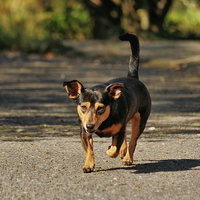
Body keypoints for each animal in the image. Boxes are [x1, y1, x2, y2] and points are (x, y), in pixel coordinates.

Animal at [63, 32, 151, 172]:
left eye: (101, 108)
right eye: (83, 107)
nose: (90, 126)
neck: (103, 123)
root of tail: (133, 77)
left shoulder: (118, 130)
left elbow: (114, 148)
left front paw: (110, 150)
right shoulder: (84, 132)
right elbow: (89, 150)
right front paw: (88, 165)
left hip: (140, 121)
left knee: (133, 140)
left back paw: (128, 158)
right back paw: (123, 151)